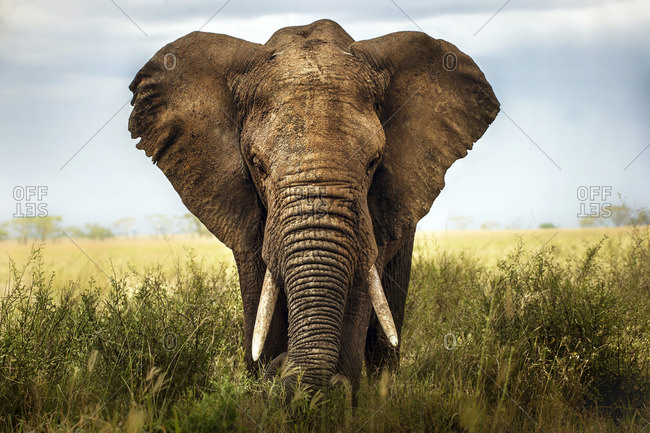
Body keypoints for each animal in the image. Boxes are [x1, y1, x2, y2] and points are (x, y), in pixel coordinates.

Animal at [128, 19, 499, 396]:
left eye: (373, 163)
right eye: (257, 165)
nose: (281, 370)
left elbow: (360, 289)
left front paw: (333, 396)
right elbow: (260, 296)